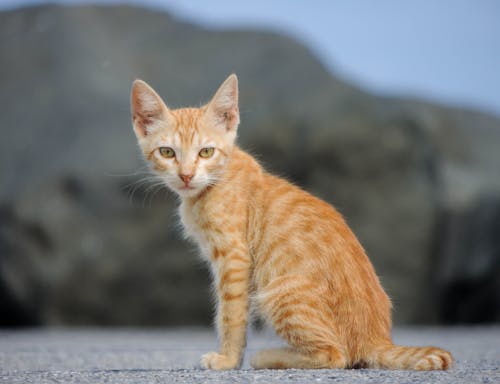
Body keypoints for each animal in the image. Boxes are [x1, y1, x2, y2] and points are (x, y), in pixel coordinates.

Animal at [129, 73, 454, 370]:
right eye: (167, 152)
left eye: (206, 151)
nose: (186, 175)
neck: (213, 183)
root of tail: (378, 338)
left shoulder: (234, 258)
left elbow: (230, 314)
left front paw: (228, 360)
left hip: (280, 291)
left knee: (337, 356)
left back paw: (269, 356)